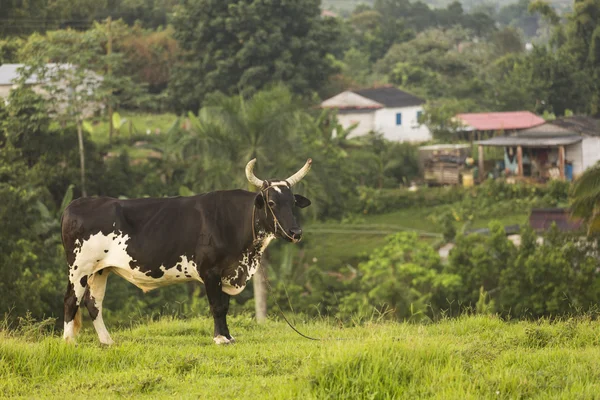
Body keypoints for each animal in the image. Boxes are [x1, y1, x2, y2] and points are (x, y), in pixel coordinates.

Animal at [61, 158, 314, 346]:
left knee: (93, 303)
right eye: (271, 203)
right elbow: (217, 305)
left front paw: (228, 335)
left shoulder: (227, 271)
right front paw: (220, 338)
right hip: (79, 268)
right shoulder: (210, 271)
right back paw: (69, 341)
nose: (296, 232)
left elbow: (225, 305)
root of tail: (75, 204)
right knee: (72, 300)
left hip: (99, 270)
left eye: (292, 202)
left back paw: (107, 341)